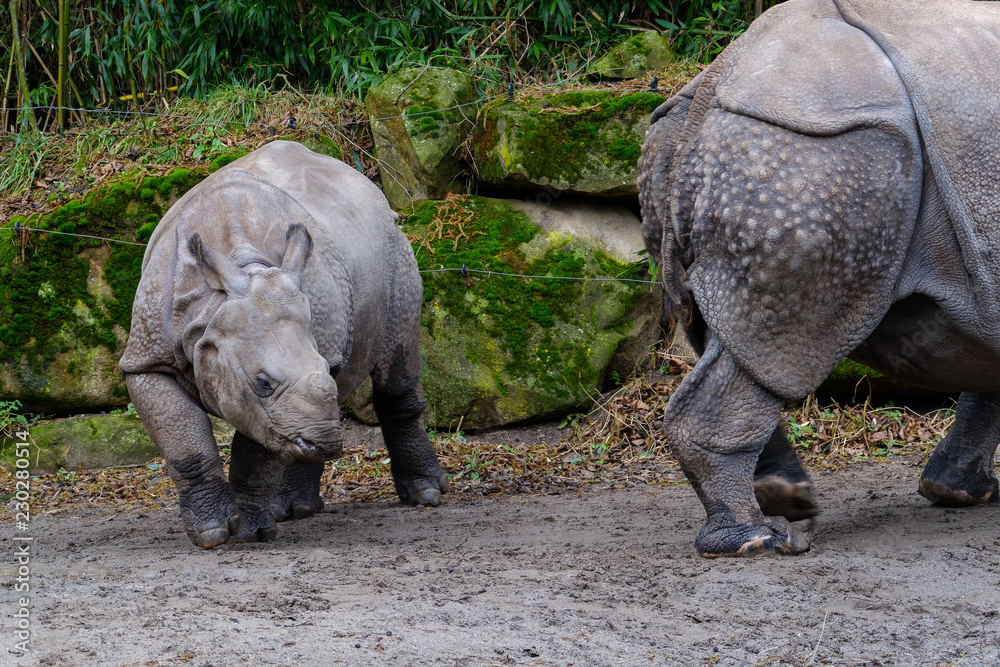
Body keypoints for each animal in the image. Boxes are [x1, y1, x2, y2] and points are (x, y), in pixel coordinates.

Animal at [119, 141, 448, 548]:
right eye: (263, 381)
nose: (328, 442)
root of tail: (371, 189)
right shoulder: (147, 361)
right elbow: (188, 448)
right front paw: (213, 535)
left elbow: (259, 445)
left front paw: (252, 533)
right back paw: (299, 508)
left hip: (396, 252)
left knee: (394, 362)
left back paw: (425, 496)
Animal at [638, 0, 1000, 557]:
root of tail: (714, 79)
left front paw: (956, 492)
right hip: (820, 152)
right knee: (782, 338)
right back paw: (758, 540)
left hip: (747, 150)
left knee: (733, 340)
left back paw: (789, 503)